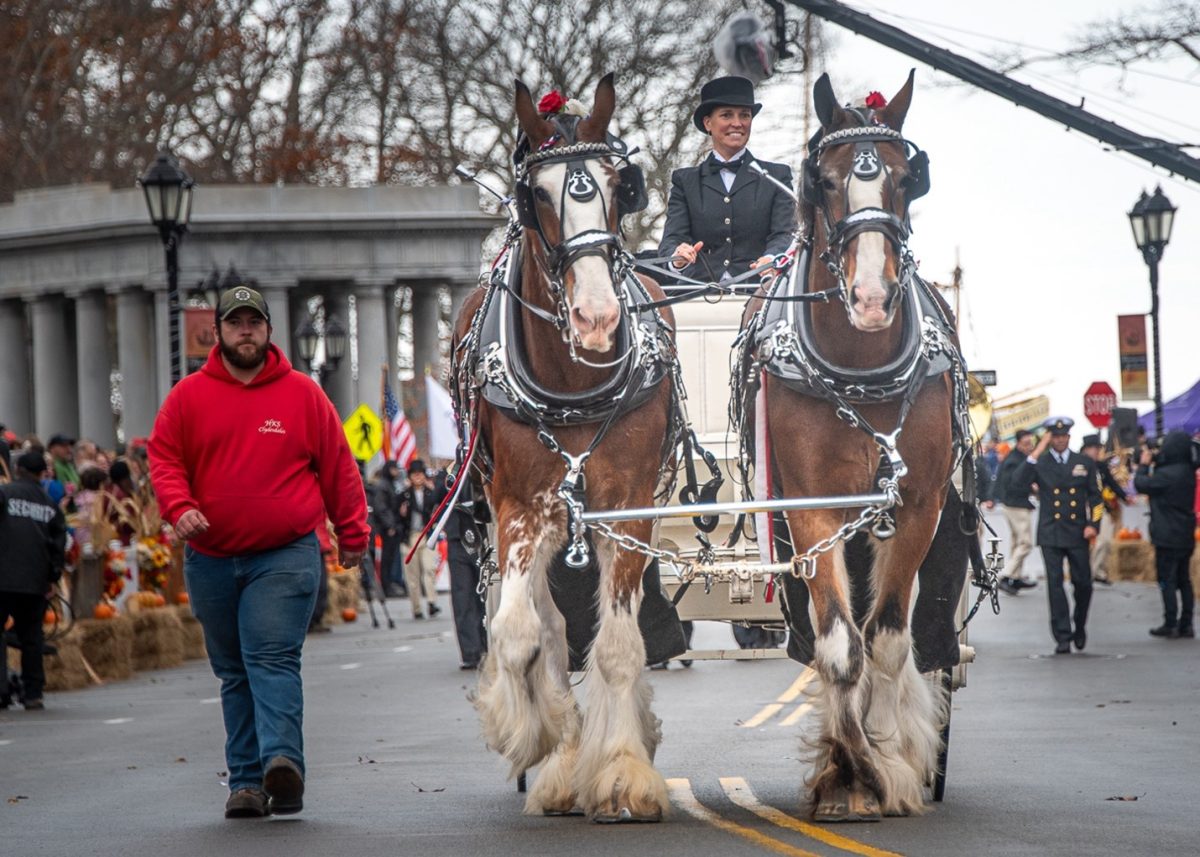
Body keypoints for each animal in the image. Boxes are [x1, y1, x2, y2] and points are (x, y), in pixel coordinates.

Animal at [453, 76, 676, 816]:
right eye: (539, 194)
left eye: (616, 184)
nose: (597, 317)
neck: (575, 384)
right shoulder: (520, 507)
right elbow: (523, 634)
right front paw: (541, 732)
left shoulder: (627, 508)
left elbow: (618, 646)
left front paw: (624, 768)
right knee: (544, 626)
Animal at [744, 71, 960, 816]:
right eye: (827, 180)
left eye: (905, 178)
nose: (870, 297)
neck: (860, 373)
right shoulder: (813, 508)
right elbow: (841, 645)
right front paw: (848, 770)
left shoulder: (919, 505)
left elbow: (888, 641)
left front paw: (889, 761)